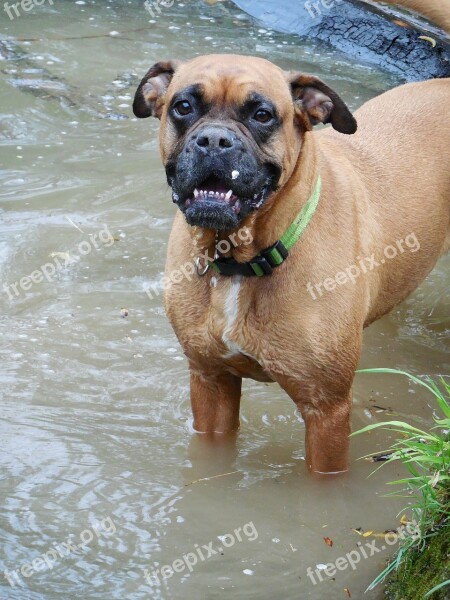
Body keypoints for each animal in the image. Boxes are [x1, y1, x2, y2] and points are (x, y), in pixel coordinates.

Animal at [134, 0, 450, 476]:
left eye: (262, 115)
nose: (214, 140)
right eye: (184, 106)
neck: (242, 259)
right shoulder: (210, 383)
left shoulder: (327, 412)